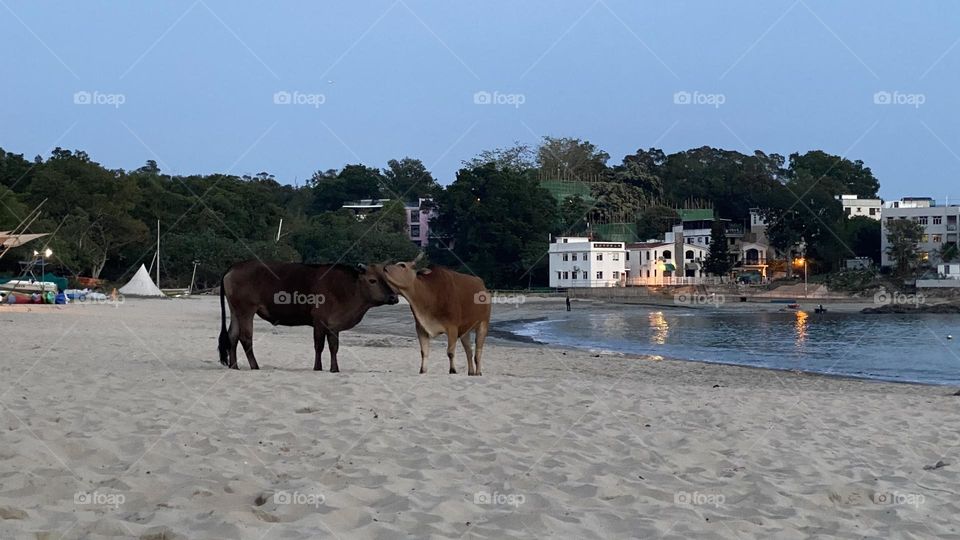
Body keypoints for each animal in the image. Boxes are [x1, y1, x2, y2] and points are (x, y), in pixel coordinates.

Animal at [218, 260, 398, 372]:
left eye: (386, 278)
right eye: (372, 280)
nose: (394, 298)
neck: (346, 288)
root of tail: (235, 266)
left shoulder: (334, 325)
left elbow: (334, 347)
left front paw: (334, 368)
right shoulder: (319, 321)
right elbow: (319, 346)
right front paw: (318, 367)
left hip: (235, 310)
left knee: (232, 335)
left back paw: (234, 366)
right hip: (246, 310)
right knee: (245, 337)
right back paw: (254, 366)